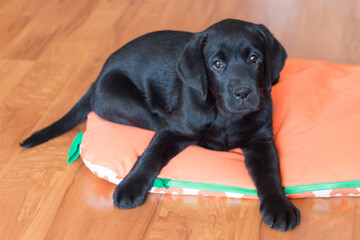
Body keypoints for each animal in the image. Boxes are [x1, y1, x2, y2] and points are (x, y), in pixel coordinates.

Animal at [21, 18, 300, 231]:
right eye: (217, 64)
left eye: (254, 59)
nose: (243, 92)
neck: (224, 115)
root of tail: (97, 78)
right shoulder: (171, 129)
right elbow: (149, 155)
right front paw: (130, 186)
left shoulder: (262, 140)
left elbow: (270, 173)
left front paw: (279, 206)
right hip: (128, 101)